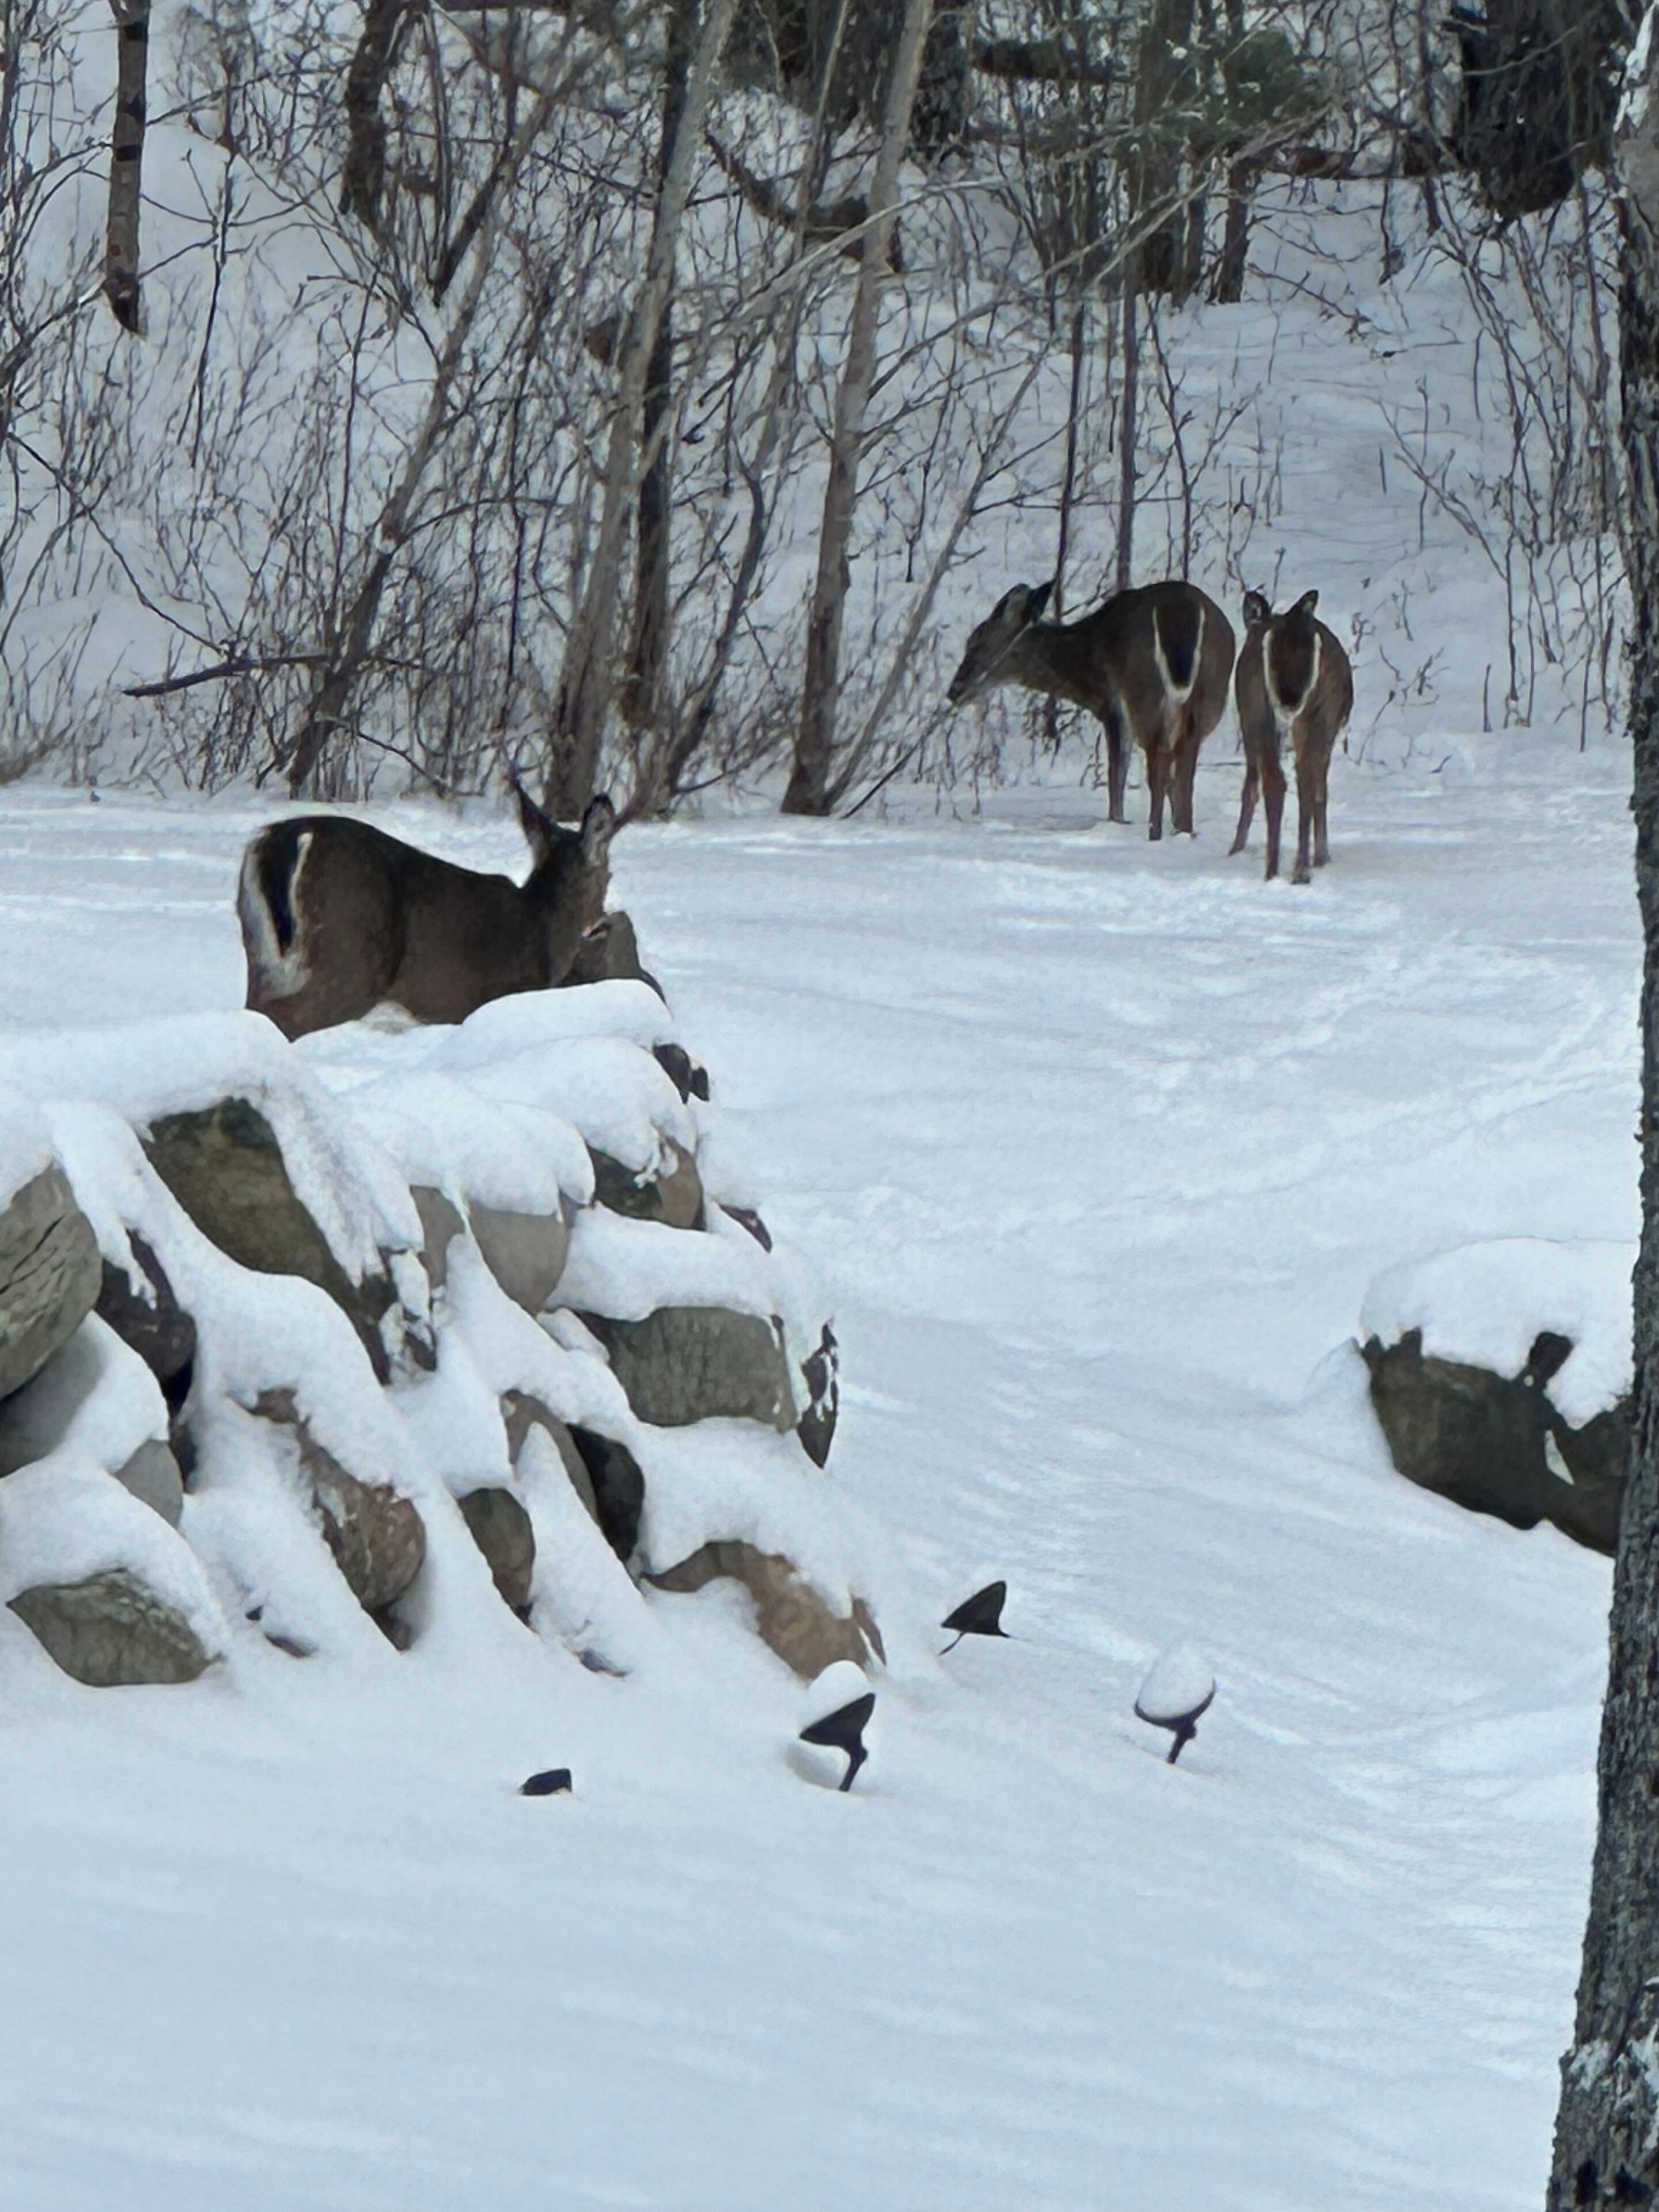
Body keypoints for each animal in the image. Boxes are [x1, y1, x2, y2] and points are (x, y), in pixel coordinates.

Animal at [947, 578, 1236, 838]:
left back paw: (1155, 833)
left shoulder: (1112, 707)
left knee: (1160, 767)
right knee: (1183, 770)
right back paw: (1184, 832)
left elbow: (1116, 776)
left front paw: (1117, 823)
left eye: (977, 642)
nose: (954, 692)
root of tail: (1184, 613)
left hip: (1145, 691)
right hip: (1209, 696)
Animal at [1229, 589, 1355, 885]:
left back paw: (1274, 871)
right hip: (1314, 713)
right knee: (1302, 780)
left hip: (1257, 709)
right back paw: (1300, 869)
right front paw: (1322, 857)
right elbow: (1321, 790)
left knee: (1276, 780)